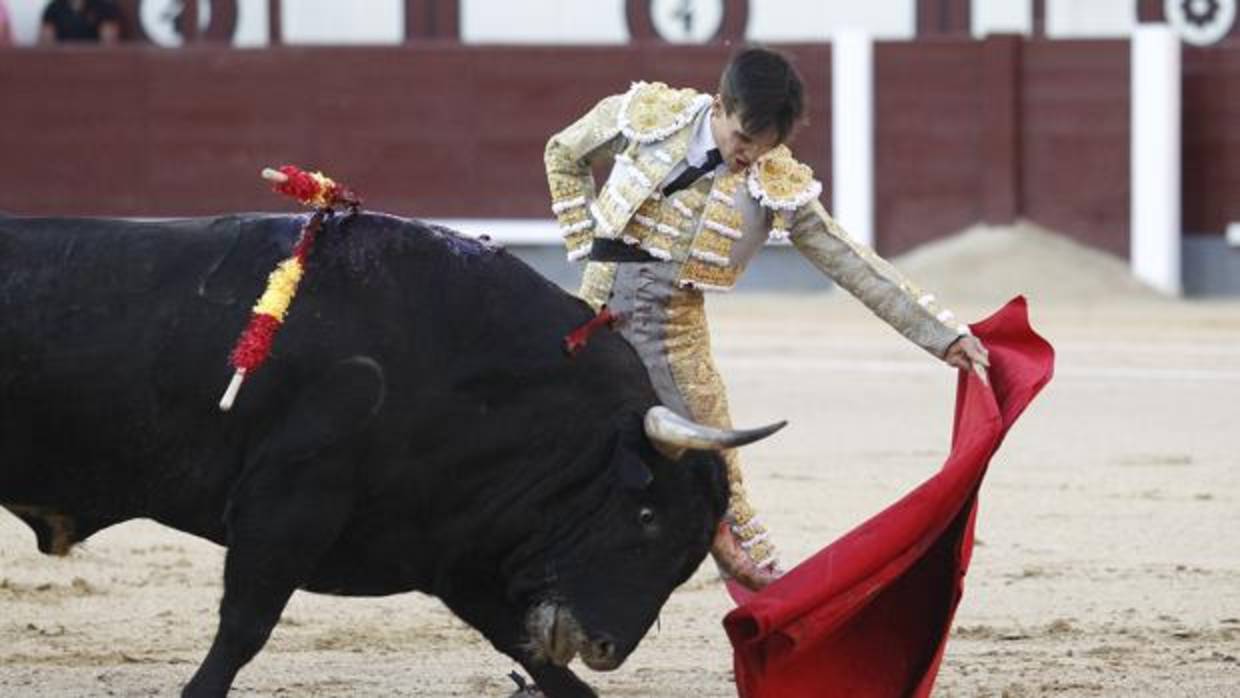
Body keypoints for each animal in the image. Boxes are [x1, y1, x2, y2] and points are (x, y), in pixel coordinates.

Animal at [0, 213, 783, 698]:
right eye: (648, 517)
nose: (606, 647)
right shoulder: (287, 504)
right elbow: (243, 627)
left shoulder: (452, 551)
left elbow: (531, 657)